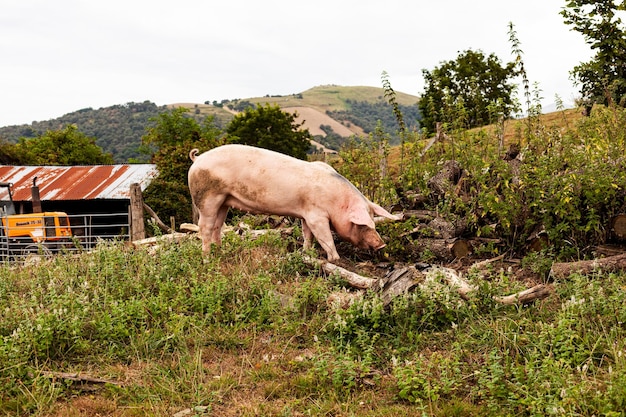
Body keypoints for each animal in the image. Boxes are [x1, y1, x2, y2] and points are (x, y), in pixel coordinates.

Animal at [186, 143, 400, 260]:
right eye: (362, 225)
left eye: (373, 221)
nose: (381, 245)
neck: (336, 201)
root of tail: (198, 159)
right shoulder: (317, 216)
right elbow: (325, 237)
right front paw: (335, 259)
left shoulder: (305, 214)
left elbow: (307, 234)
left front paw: (306, 253)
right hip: (207, 197)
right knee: (204, 227)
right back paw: (207, 258)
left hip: (223, 201)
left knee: (217, 226)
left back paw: (220, 252)